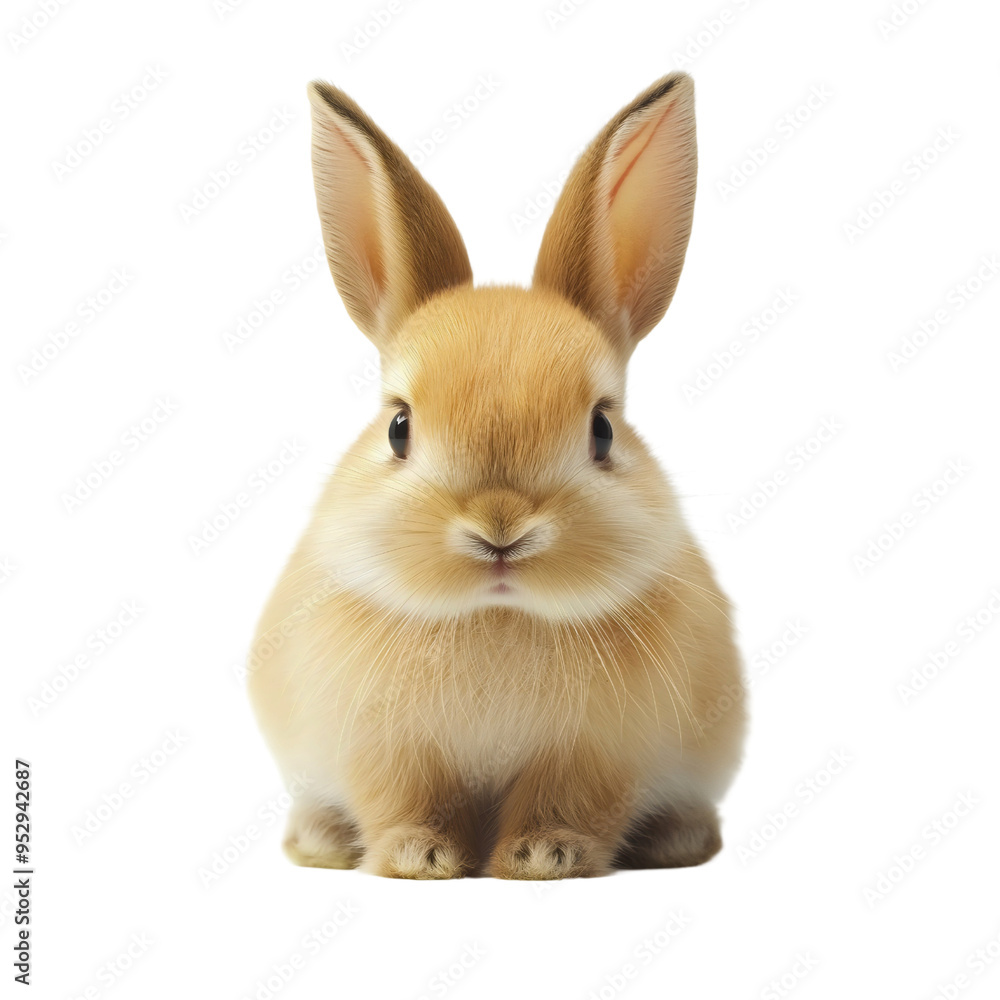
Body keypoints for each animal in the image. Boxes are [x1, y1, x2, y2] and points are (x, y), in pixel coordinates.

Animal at [248, 71, 746, 880]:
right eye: (399, 428)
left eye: (602, 430)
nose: (500, 530)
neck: (498, 617)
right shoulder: (386, 752)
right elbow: (403, 801)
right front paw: (419, 857)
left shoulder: (596, 755)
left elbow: (570, 802)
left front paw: (543, 855)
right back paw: (318, 842)